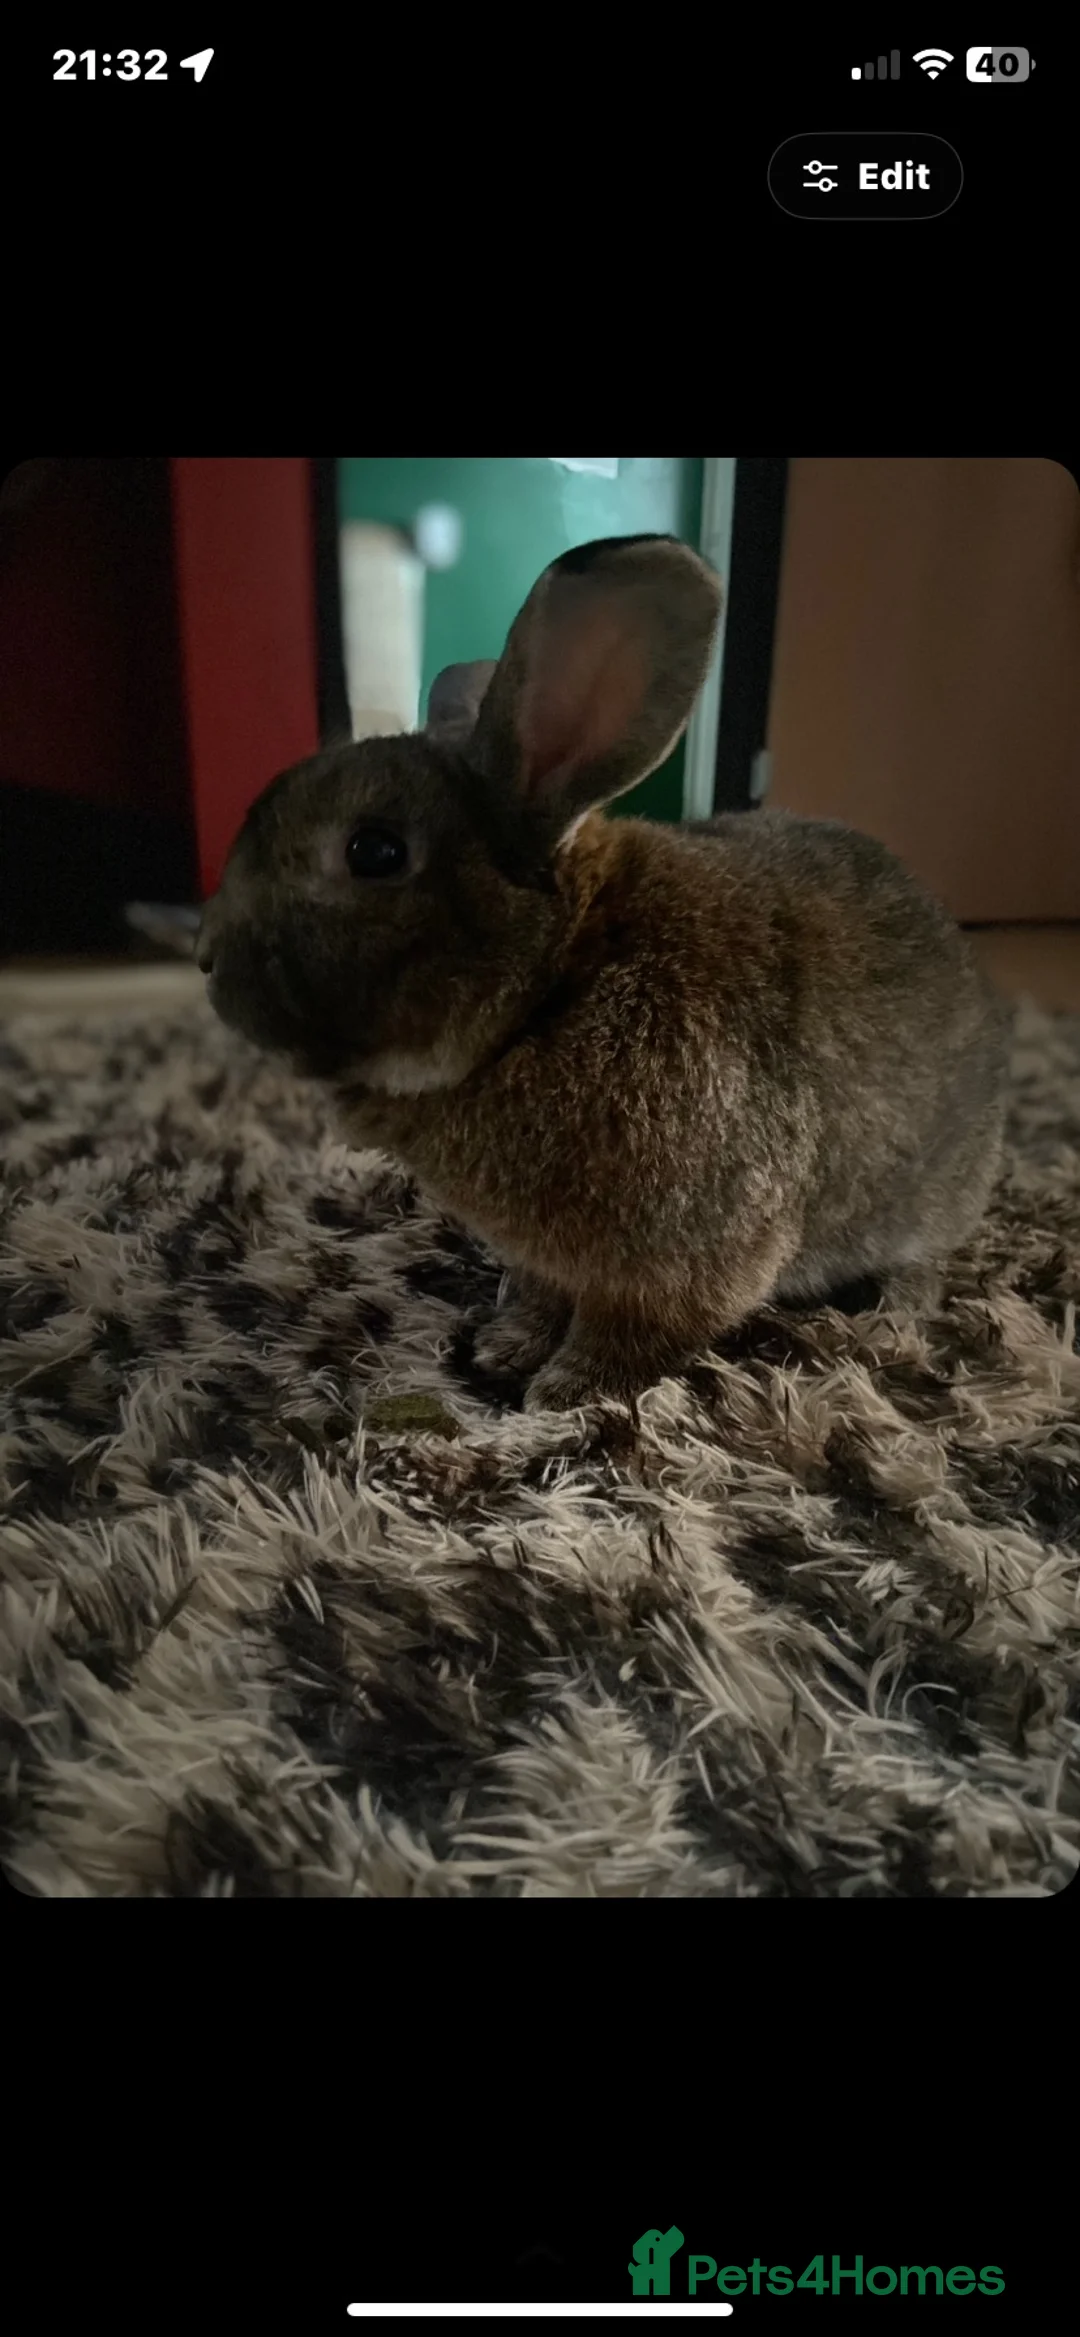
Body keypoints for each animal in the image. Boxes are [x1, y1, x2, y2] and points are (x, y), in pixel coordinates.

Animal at [197, 532, 1009, 1412]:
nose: (206, 957)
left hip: (929, 1199)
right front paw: (509, 1345)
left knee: (924, 1261)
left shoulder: (684, 1257)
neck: (550, 990)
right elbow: (541, 1294)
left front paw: (564, 1391)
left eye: (373, 851)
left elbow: (633, 1329)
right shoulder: (549, 1255)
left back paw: (892, 1320)